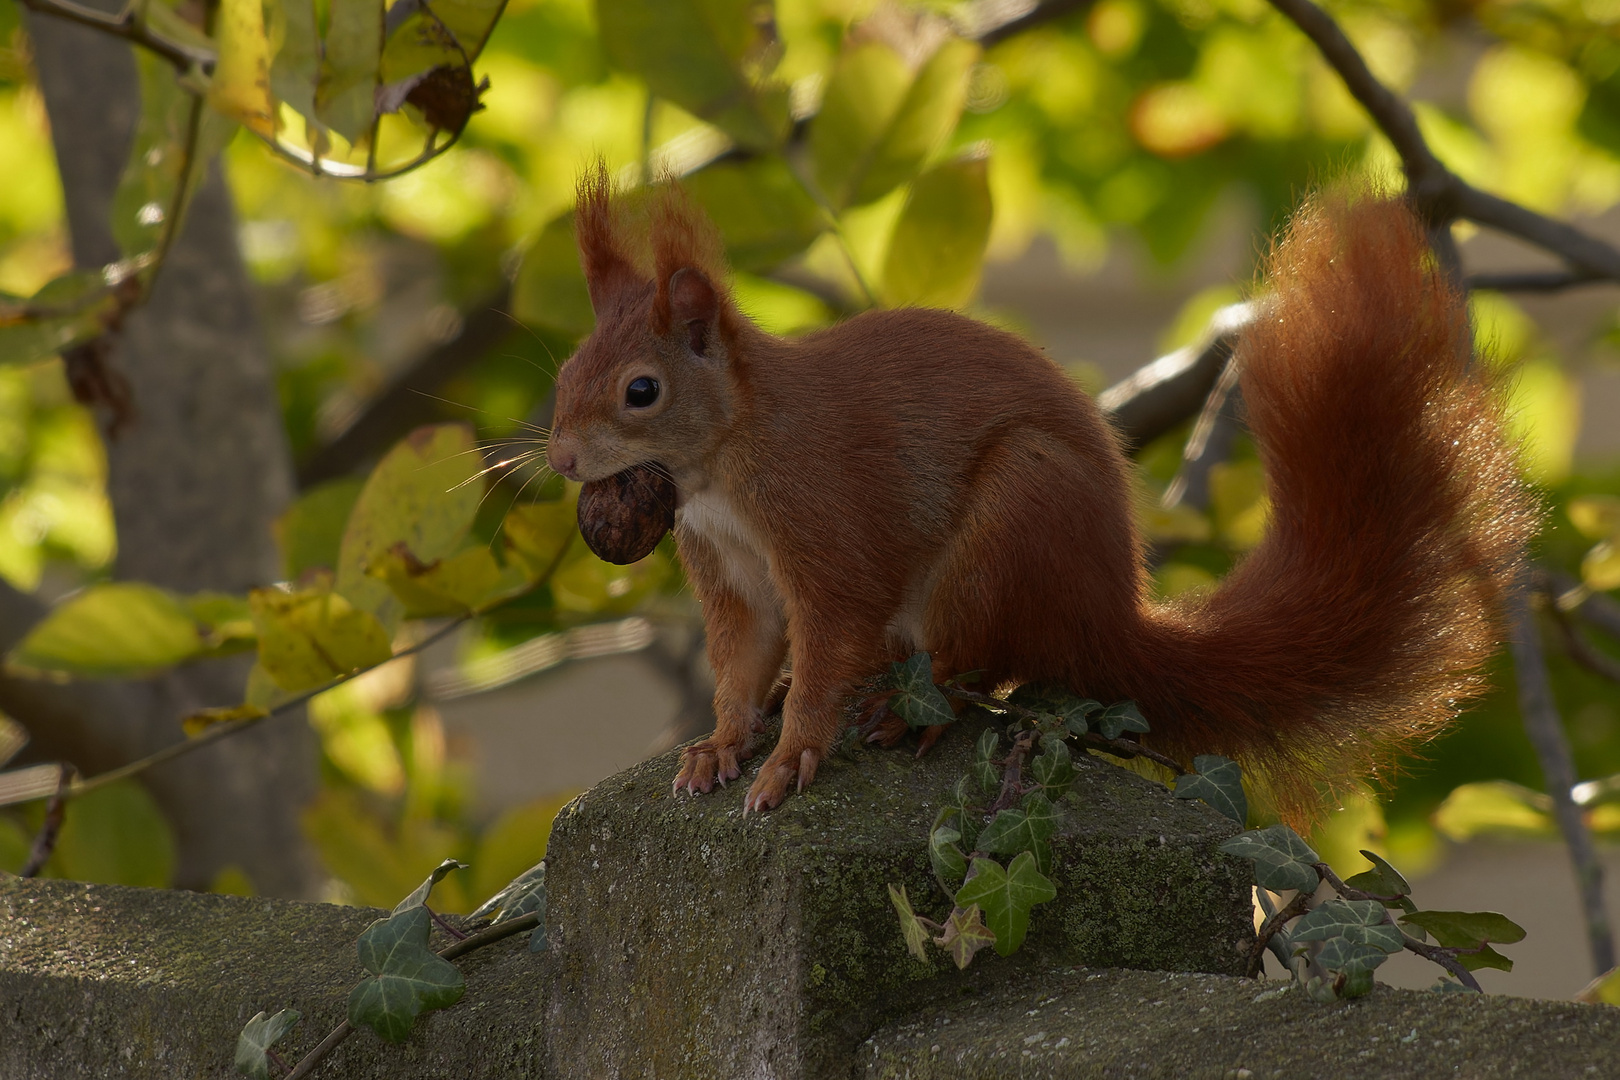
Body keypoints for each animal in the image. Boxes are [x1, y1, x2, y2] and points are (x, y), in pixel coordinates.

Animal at [541, 165, 1529, 816]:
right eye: (564, 372)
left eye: (641, 391)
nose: (561, 460)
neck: (729, 459)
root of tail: (1108, 615)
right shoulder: (729, 566)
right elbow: (741, 659)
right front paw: (720, 744)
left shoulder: (827, 526)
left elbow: (831, 638)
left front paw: (790, 758)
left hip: (1015, 522)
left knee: (982, 660)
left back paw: (911, 710)